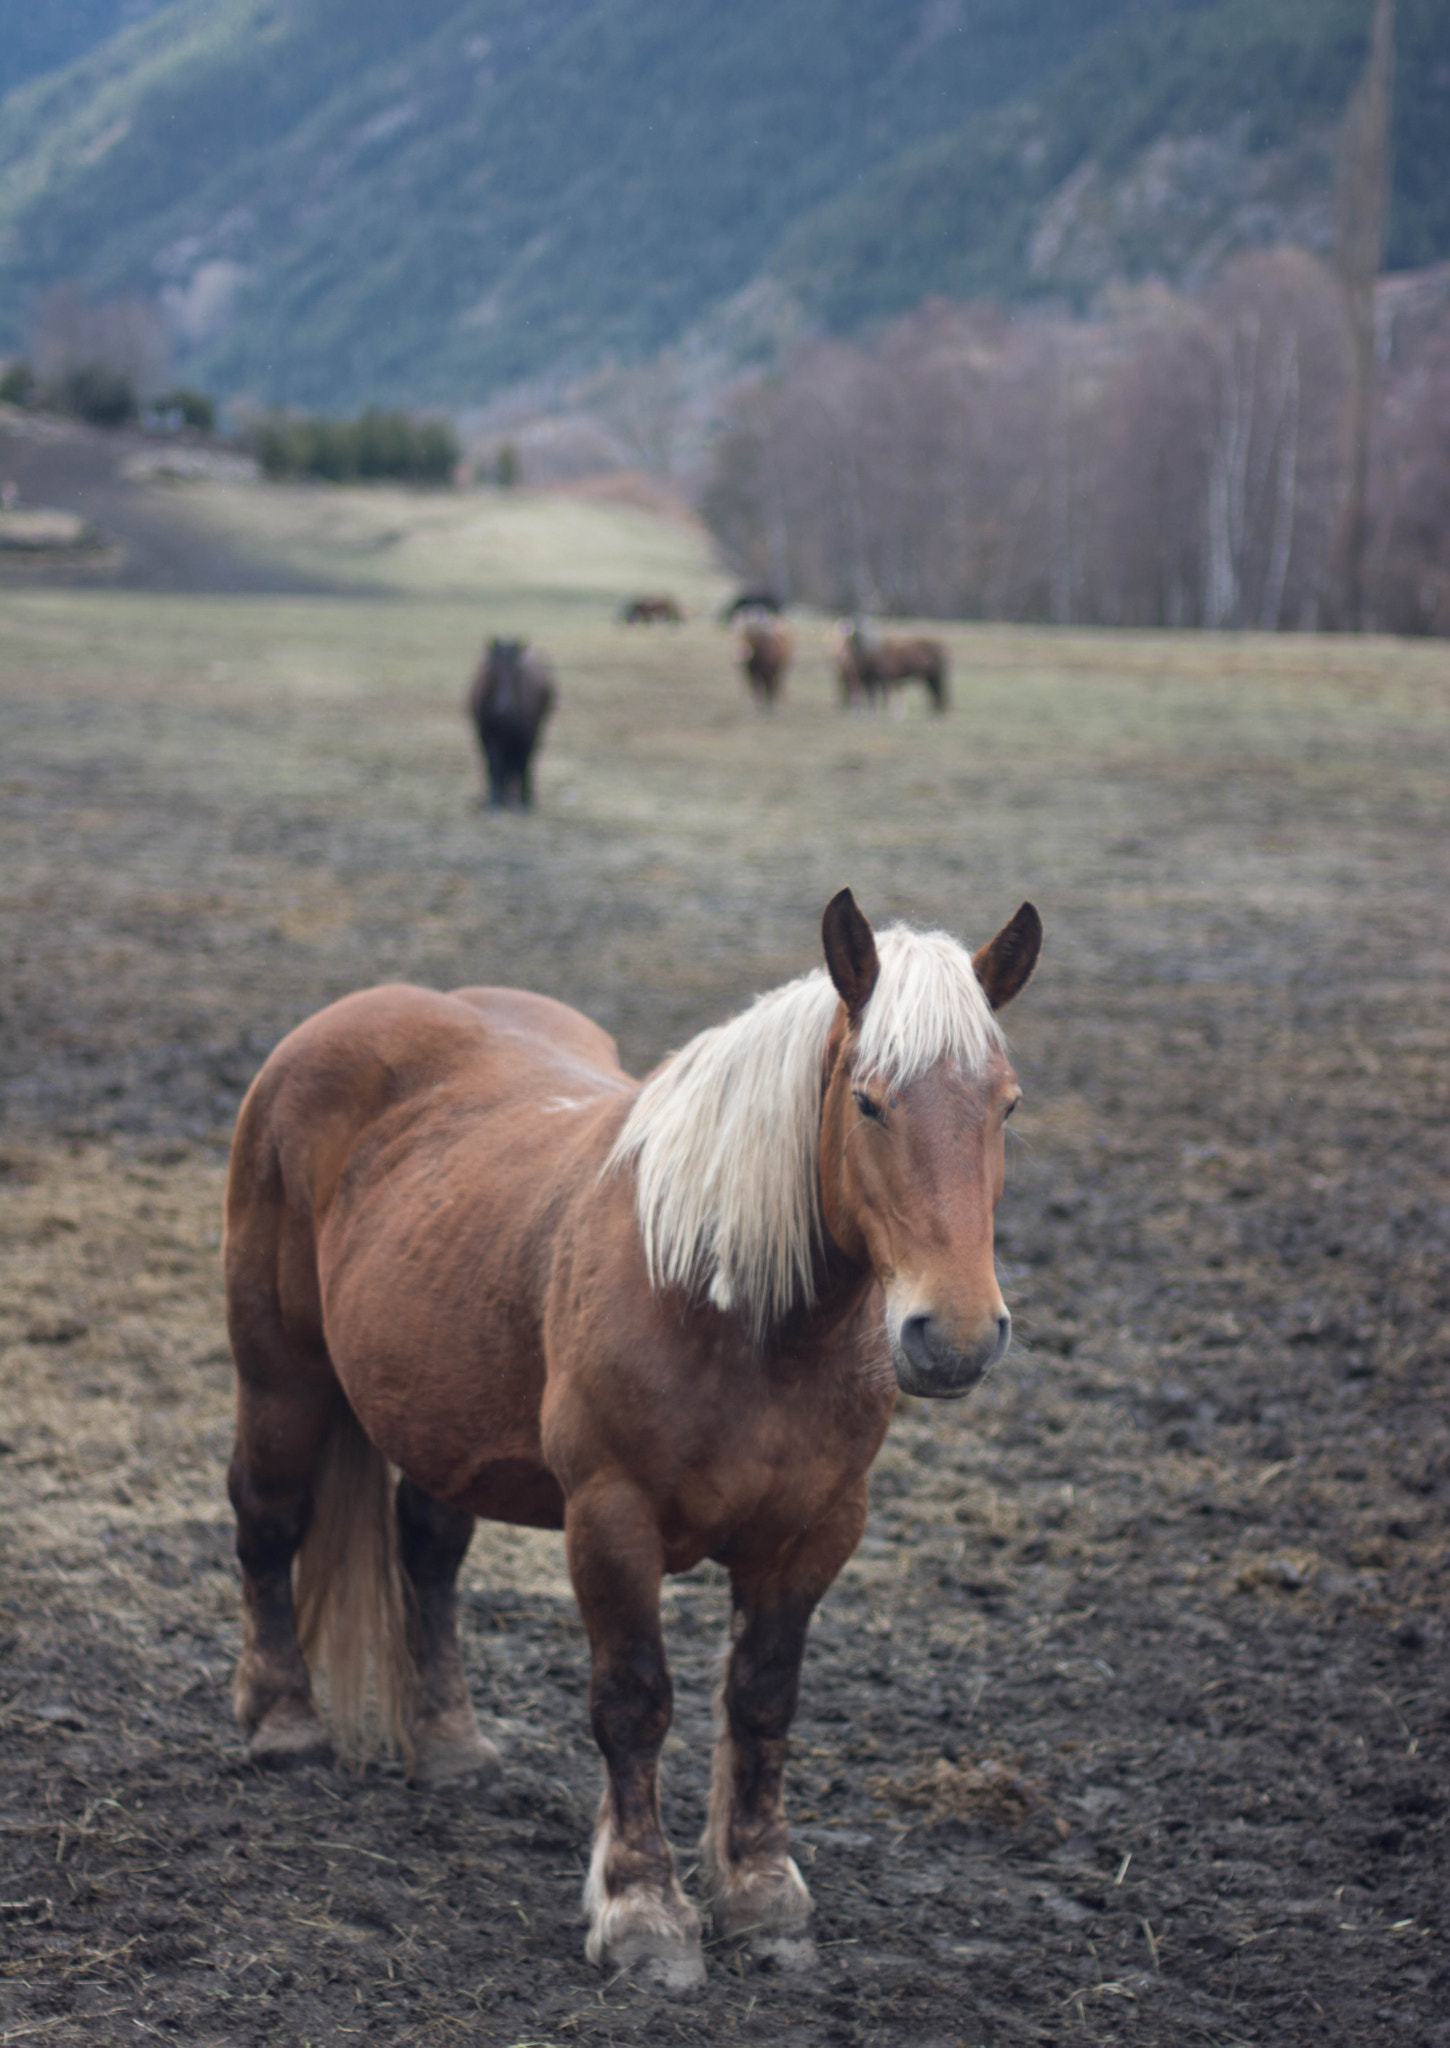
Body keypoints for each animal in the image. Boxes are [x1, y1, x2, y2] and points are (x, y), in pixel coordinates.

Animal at [226, 888, 1040, 1990]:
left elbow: (762, 1699)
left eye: (1006, 1104)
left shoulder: (816, 1530)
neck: (734, 1311)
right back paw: (283, 1724)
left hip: (438, 1403)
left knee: (426, 1553)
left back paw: (450, 1747)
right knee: (268, 1520)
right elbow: (634, 1701)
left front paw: (761, 1897)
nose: (953, 1337)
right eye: (870, 1103)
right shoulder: (611, 1519)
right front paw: (644, 1912)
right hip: (281, 1378)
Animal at [464, 630, 557, 806]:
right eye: (494, 668)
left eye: (516, 670)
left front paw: (524, 802)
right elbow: (494, 765)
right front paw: (494, 800)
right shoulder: (486, 734)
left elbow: (524, 762)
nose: (504, 706)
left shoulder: (527, 735)